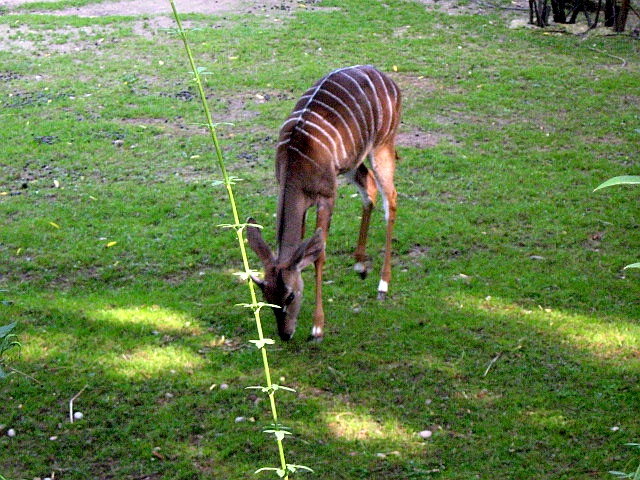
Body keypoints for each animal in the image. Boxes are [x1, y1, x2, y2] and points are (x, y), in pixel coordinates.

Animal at [246, 64, 400, 342]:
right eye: (267, 299)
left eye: (290, 296)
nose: (285, 334)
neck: (294, 167)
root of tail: (388, 79)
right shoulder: (304, 203)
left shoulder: (326, 196)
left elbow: (319, 254)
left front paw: (317, 328)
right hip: (351, 162)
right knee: (369, 188)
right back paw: (360, 265)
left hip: (383, 143)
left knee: (390, 198)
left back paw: (383, 284)